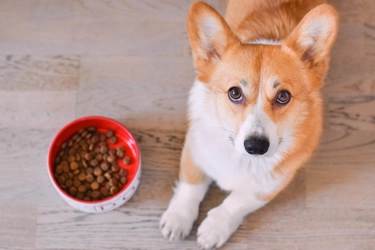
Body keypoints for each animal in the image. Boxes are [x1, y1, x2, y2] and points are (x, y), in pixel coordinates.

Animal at [160, 0, 340, 249]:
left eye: (283, 96)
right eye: (235, 93)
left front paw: (215, 228)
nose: (256, 147)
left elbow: (236, 202)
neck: (242, 159)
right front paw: (178, 219)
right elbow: (191, 186)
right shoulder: (195, 149)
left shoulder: (271, 185)